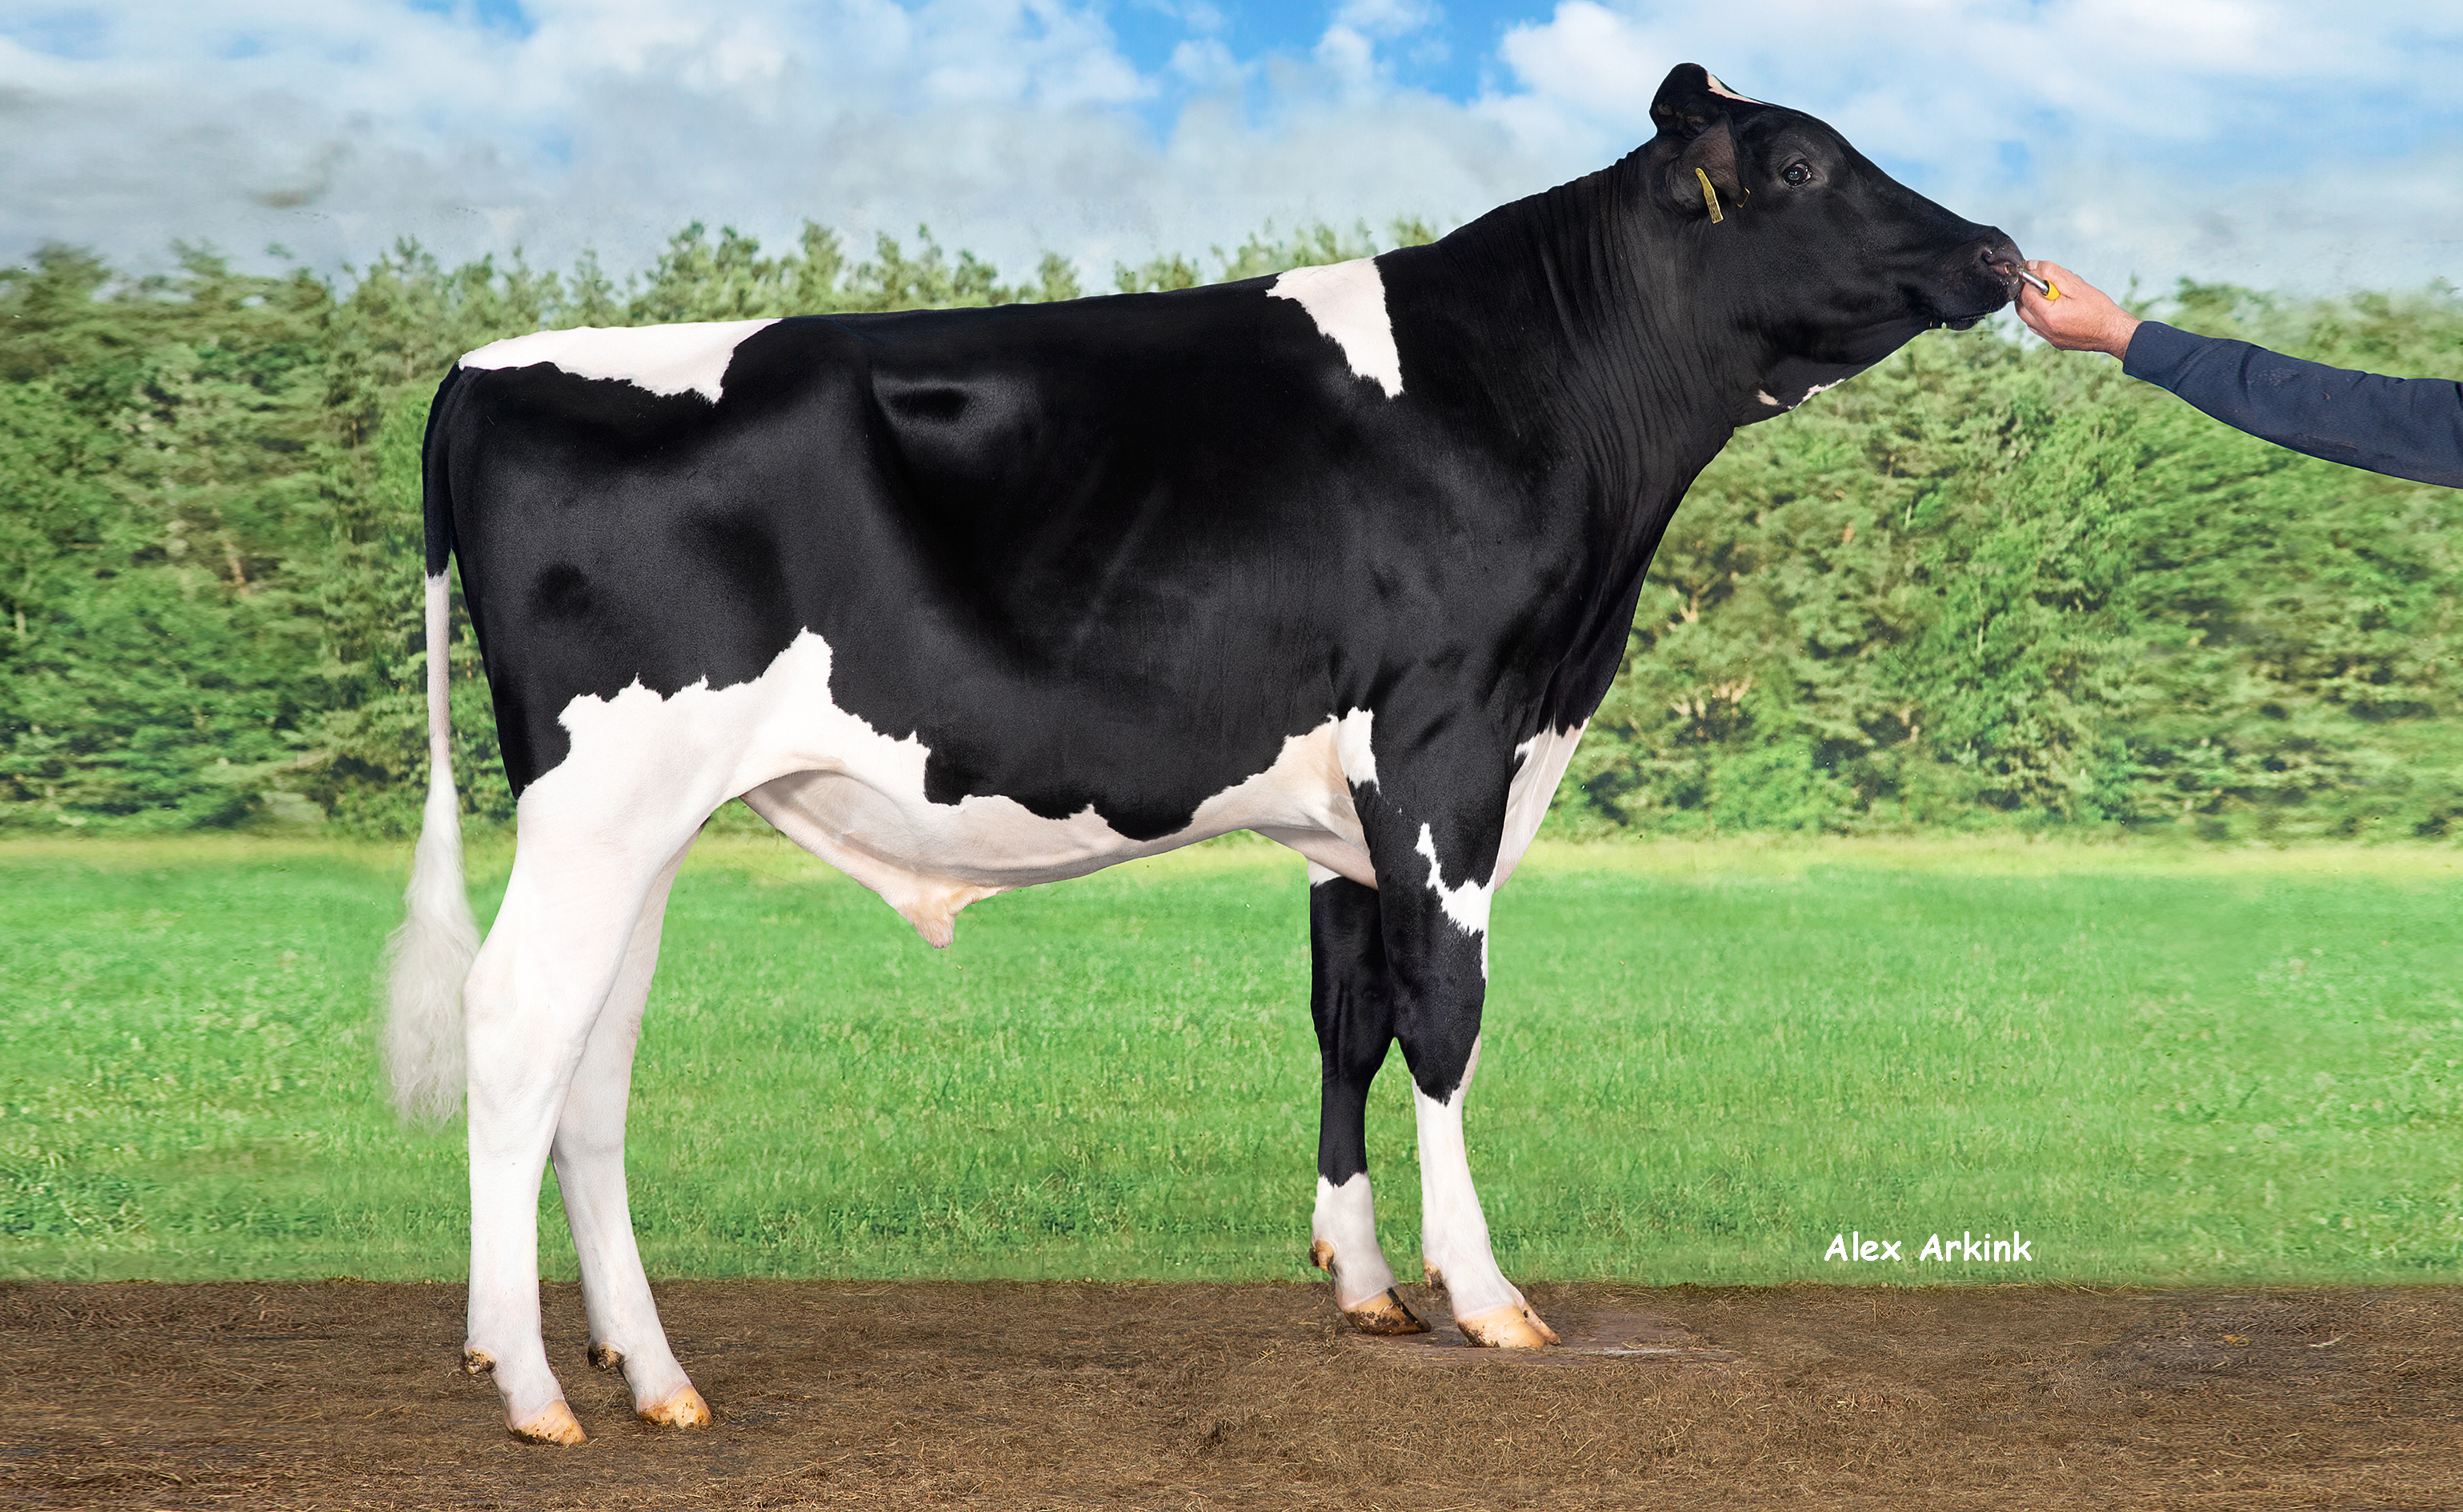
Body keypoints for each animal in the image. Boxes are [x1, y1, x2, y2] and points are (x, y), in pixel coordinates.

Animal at [388, 63, 2027, 1443]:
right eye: (1803, 165)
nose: (2000, 251)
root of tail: (485, 367)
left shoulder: (1349, 804)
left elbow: (1347, 1017)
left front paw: (1364, 1282)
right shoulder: (1443, 743)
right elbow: (1445, 1015)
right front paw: (1484, 1294)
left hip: (645, 818)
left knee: (593, 1062)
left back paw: (648, 1372)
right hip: (603, 796)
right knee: (517, 1026)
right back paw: (530, 1383)